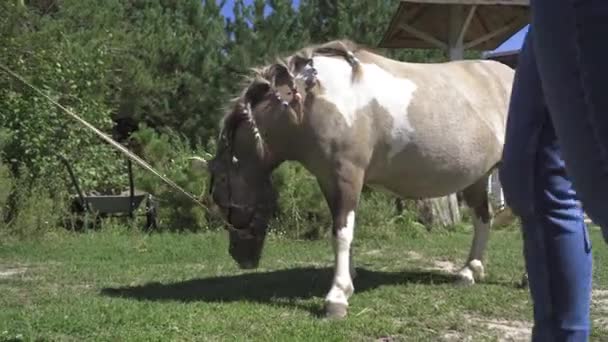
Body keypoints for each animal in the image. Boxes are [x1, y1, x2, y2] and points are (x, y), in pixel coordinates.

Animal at [191, 40, 512, 320]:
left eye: (220, 197)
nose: (241, 258)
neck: (313, 100)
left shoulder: (347, 175)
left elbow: (342, 233)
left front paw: (337, 298)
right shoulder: (328, 179)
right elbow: (342, 229)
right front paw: (350, 279)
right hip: (478, 177)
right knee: (483, 219)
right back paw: (469, 272)